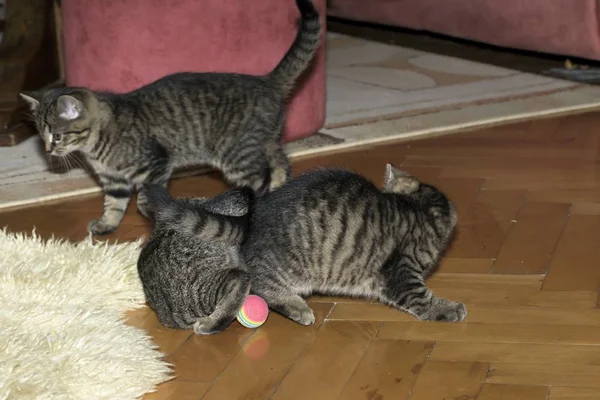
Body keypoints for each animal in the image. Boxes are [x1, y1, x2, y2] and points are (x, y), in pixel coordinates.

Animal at [18, 0, 322, 234]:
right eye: (41, 137)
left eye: (57, 136)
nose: (49, 150)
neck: (96, 146)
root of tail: (266, 81)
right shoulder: (114, 182)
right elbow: (113, 205)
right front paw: (106, 224)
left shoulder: (156, 165)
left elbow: (145, 196)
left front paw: (149, 211)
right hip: (268, 141)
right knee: (282, 166)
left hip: (238, 156)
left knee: (261, 179)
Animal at [142, 163, 468, 334]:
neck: (418, 206)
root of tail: (250, 219)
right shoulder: (401, 274)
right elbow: (422, 299)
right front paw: (448, 309)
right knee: (253, 284)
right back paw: (297, 308)